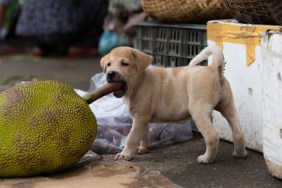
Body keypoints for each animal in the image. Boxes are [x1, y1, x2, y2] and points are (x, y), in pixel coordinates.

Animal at [99, 45, 247, 163]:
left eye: (124, 63)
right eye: (108, 64)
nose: (110, 74)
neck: (139, 82)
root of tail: (214, 69)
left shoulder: (140, 118)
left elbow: (132, 137)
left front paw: (125, 154)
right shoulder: (143, 118)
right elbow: (144, 134)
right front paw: (143, 149)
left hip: (198, 110)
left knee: (212, 136)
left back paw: (206, 159)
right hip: (228, 106)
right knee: (238, 132)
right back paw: (240, 153)